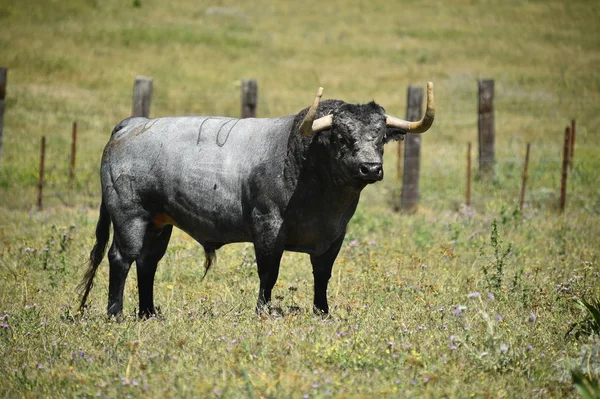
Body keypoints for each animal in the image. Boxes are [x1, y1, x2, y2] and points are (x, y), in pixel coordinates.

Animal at [79, 83, 436, 318]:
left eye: (381, 137)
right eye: (340, 137)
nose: (371, 167)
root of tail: (134, 123)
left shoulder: (334, 237)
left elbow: (322, 275)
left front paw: (322, 312)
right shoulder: (268, 228)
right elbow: (269, 273)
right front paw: (263, 311)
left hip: (159, 222)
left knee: (148, 262)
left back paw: (149, 313)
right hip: (130, 215)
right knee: (122, 258)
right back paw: (116, 314)